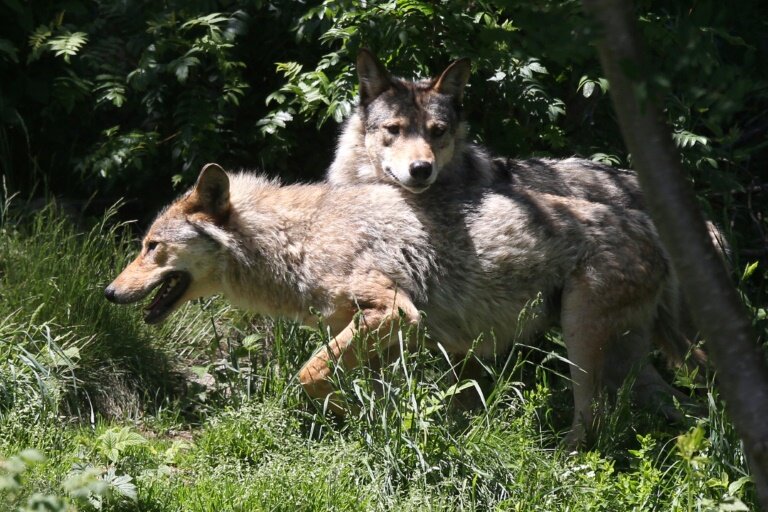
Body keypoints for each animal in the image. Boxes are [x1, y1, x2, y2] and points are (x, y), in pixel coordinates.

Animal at [106, 163, 687, 445]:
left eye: (151, 246)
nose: (108, 293)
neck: (300, 239)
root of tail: (653, 233)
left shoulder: (395, 314)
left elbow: (308, 375)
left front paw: (353, 418)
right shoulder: (383, 334)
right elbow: (352, 385)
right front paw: (373, 420)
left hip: (581, 349)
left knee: (596, 420)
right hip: (627, 362)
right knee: (680, 408)